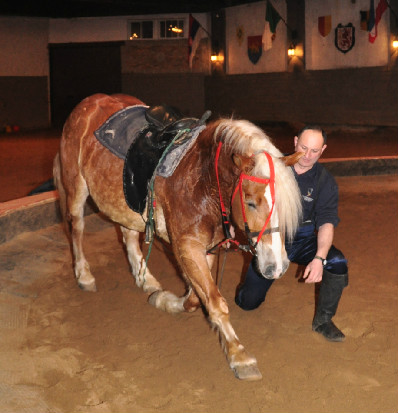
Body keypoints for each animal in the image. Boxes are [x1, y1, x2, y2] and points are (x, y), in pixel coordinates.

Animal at [53, 92, 302, 380]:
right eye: (250, 202)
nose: (277, 267)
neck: (202, 181)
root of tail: (89, 103)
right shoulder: (187, 245)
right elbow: (216, 302)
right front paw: (239, 356)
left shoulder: (206, 248)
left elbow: (196, 298)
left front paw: (165, 300)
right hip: (76, 187)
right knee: (77, 228)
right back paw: (84, 275)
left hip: (124, 201)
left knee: (127, 234)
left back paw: (146, 279)